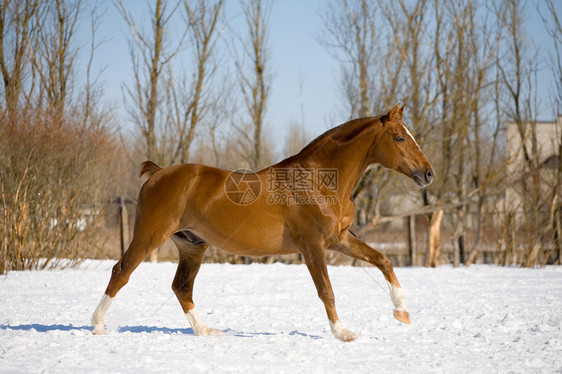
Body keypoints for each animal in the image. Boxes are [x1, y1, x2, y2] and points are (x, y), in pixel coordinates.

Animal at [93, 103, 434, 340]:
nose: (428, 173)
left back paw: (205, 331)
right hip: (149, 236)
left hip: (192, 246)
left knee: (182, 287)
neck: (318, 180)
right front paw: (343, 333)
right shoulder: (313, 246)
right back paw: (97, 325)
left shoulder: (339, 239)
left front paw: (402, 312)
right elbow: (326, 290)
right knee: (121, 272)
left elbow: (383, 260)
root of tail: (159, 172)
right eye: (400, 137)